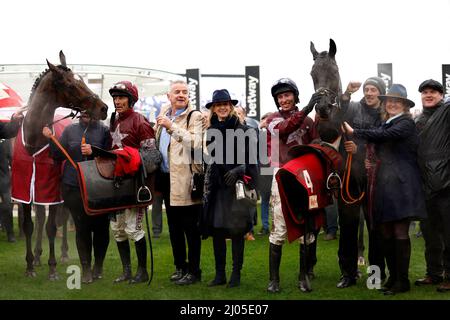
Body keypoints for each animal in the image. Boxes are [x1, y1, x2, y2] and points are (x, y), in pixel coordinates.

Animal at [11, 51, 107, 278]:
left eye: (81, 80)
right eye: (71, 84)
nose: (103, 107)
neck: (34, 140)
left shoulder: (52, 190)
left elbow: (52, 226)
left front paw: (52, 266)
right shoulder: (24, 190)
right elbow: (29, 225)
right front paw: (30, 265)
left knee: (63, 218)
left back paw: (63, 253)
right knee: (40, 219)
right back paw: (38, 256)